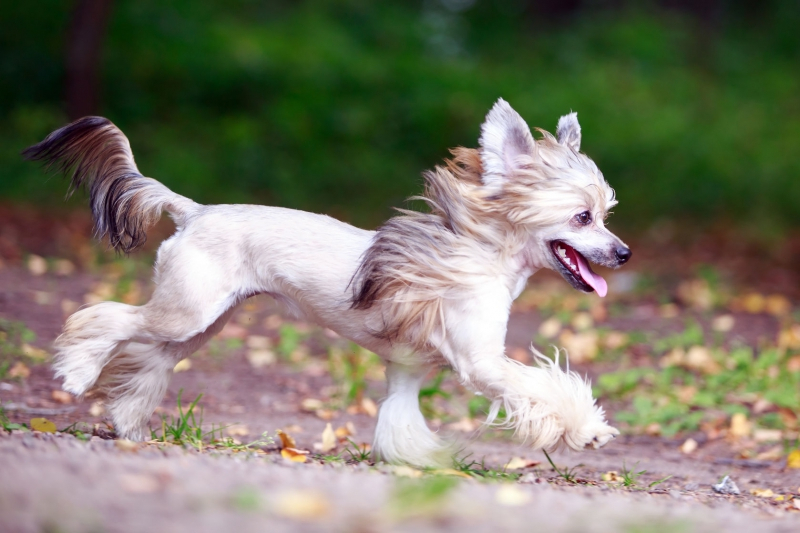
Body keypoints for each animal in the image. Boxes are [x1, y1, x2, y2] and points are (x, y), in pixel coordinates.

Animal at [25, 98, 632, 466]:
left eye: (606, 214)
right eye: (583, 218)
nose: (623, 252)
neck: (478, 251)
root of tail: (194, 210)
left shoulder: (407, 368)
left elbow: (398, 418)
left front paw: (415, 462)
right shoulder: (480, 362)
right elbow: (543, 386)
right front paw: (588, 429)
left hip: (200, 322)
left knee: (149, 356)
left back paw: (128, 423)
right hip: (186, 311)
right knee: (106, 319)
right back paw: (77, 370)